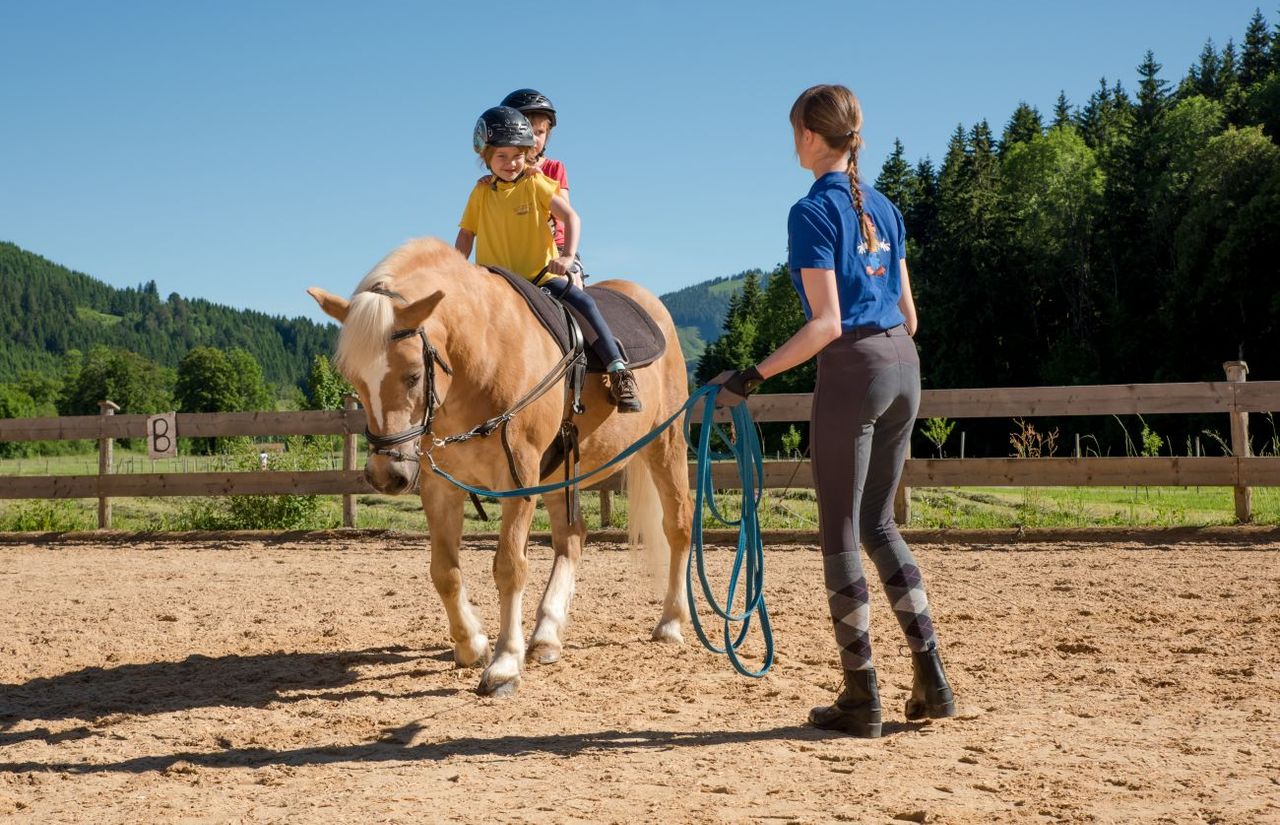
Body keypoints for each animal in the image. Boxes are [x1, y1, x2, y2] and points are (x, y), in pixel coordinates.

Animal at [308, 237, 693, 695]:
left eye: (414, 375)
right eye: (354, 379)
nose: (387, 474)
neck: (483, 359)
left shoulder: (520, 477)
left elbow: (509, 567)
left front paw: (506, 664)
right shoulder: (440, 486)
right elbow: (444, 571)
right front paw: (472, 645)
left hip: (665, 444)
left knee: (678, 525)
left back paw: (670, 622)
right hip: (560, 472)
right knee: (572, 538)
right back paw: (547, 634)